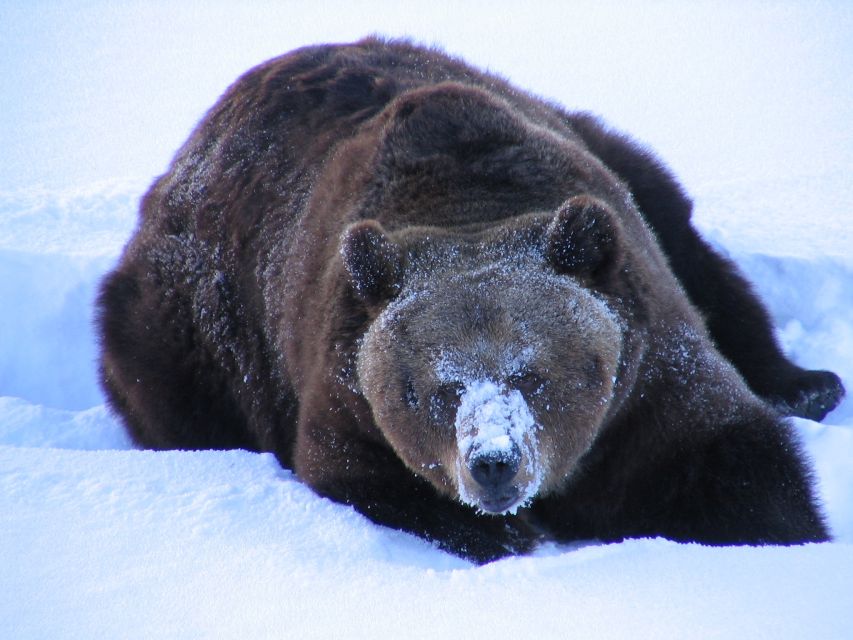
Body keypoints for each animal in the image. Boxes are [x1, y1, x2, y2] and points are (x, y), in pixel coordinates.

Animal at [97, 37, 844, 563]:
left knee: (698, 251)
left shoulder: (642, 383)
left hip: (617, 160)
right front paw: (507, 535)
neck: (467, 208)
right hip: (193, 318)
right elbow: (366, 477)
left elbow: (733, 459)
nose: (493, 463)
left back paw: (808, 384)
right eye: (439, 387)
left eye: (534, 373)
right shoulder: (344, 376)